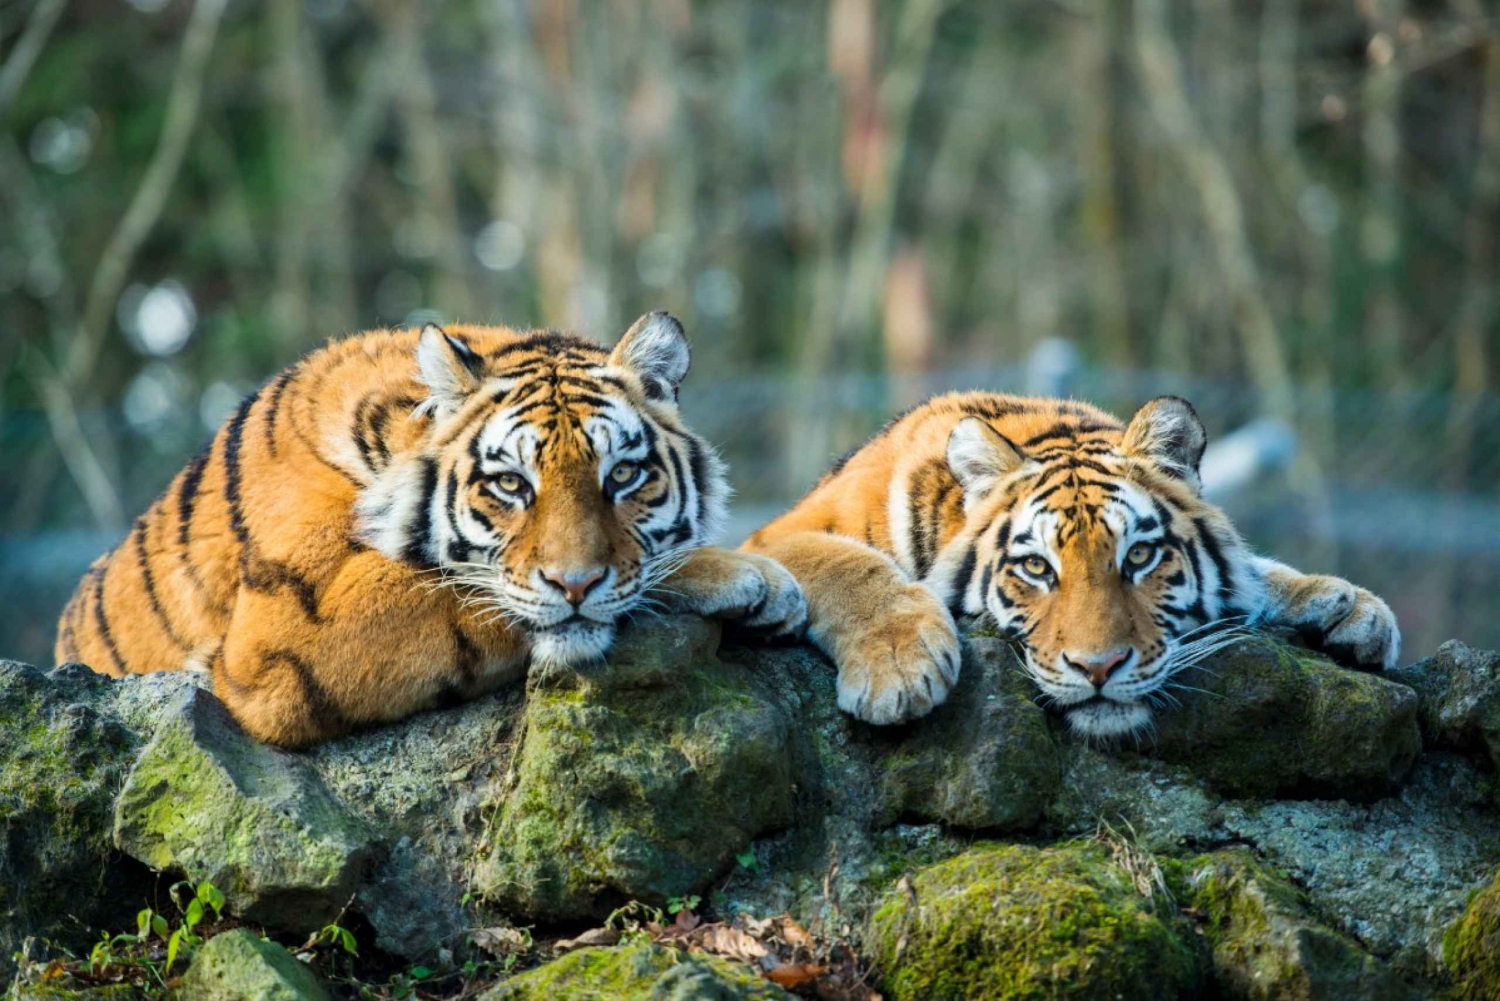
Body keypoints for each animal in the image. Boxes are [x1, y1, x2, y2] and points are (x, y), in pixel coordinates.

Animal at [55, 313, 810, 744]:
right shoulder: (281, 636)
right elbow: (461, 589)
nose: (575, 586)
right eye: (511, 484)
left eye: (622, 475)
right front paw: (748, 575)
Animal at [744, 396, 1398, 741]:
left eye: (1139, 556)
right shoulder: (774, 537)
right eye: (1036, 567)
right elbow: (850, 564)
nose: (1098, 668)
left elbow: (1258, 573)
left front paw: (1352, 608)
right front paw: (899, 668)